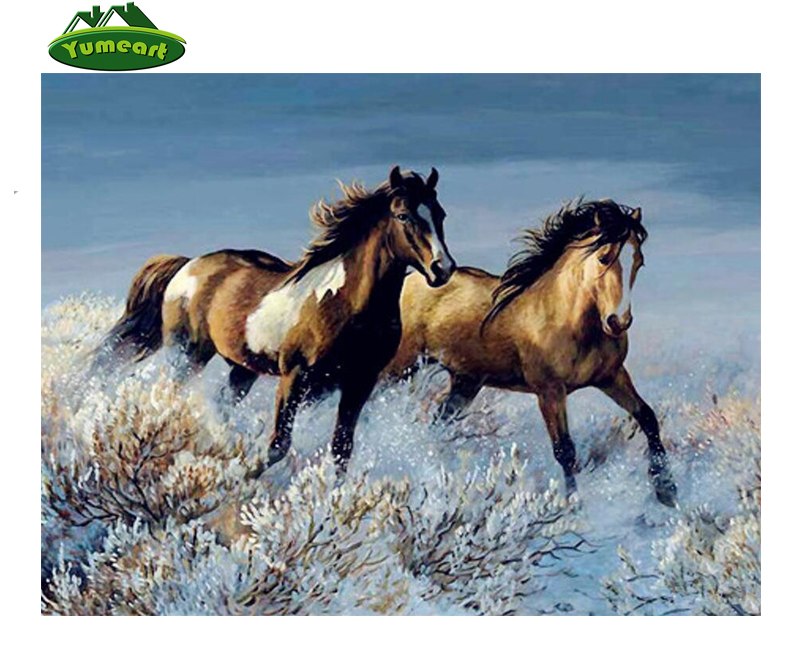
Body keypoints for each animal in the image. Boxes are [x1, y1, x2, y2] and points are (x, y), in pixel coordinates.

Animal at [98, 166, 456, 476]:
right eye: (403, 215)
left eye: (440, 215)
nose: (443, 269)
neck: (346, 306)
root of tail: (189, 265)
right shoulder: (294, 378)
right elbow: (277, 446)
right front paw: (244, 481)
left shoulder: (360, 384)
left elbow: (341, 451)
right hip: (186, 355)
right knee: (173, 400)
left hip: (242, 369)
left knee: (222, 406)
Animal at [386, 198, 677, 507]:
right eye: (603, 258)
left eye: (639, 261)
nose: (618, 322)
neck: (566, 319)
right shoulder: (549, 391)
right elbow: (564, 450)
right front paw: (573, 507)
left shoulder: (612, 376)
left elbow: (647, 417)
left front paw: (667, 491)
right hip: (399, 368)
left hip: (465, 382)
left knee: (438, 422)